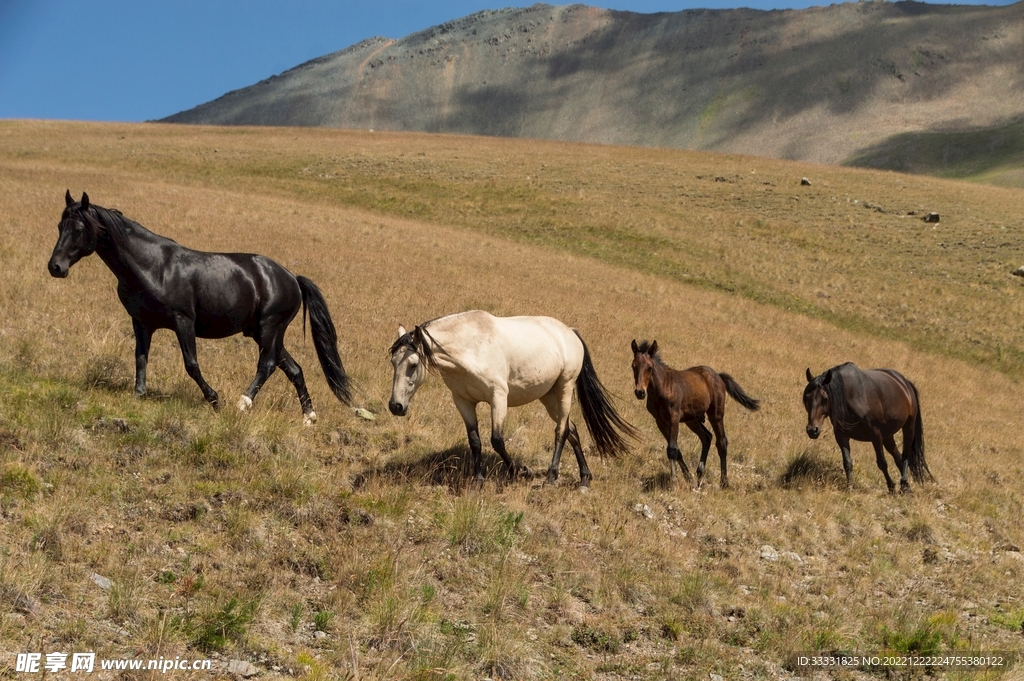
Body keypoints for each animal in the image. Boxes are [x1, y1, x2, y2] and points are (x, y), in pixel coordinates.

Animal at [47, 191, 351, 423]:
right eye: (59, 227)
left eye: (78, 229)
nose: (55, 267)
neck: (154, 265)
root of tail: (292, 278)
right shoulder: (142, 322)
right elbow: (141, 358)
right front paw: (139, 396)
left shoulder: (183, 321)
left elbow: (191, 364)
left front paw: (214, 400)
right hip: (265, 333)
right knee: (293, 368)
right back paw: (309, 417)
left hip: (269, 328)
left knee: (267, 365)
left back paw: (243, 402)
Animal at [388, 311, 638, 489]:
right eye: (393, 362)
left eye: (413, 364)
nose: (395, 406)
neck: (470, 347)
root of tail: (570, 332)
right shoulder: (463, 400)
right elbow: (475, 440)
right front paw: (478, 481)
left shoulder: (498, 397)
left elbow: (497, 440)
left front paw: (520, 471)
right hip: (548, 395)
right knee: (572, 429)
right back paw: (584, 478)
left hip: (565, 387)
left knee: (562, 430)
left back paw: (550, 478)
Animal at [630, 340, 760, 489]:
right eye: (633, 366)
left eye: (650, 367)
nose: (640, 392)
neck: (662, 387)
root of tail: (718, 376)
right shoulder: (660, 421)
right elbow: (676, 450)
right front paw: (689, 478)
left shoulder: (673, 418)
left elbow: (672, 449)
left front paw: (673, 482)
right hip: (692, 420)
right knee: (707, 437)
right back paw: (699, 476)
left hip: (716, 414)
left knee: (721, 442)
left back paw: (724, 482)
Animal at [803, 363, 933, 492]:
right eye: (806, 398)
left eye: (824, 398)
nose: (812, 430)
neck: (853, 396)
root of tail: (905, 383)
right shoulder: (841, 435)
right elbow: (847, 463)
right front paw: (850, 488)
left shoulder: (875, 434)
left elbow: (882, 463)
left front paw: (891, 487)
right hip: (887, 436)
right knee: (898, 457)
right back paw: (907, 487)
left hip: (908, 427)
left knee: (905, 455)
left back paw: (904, 485)